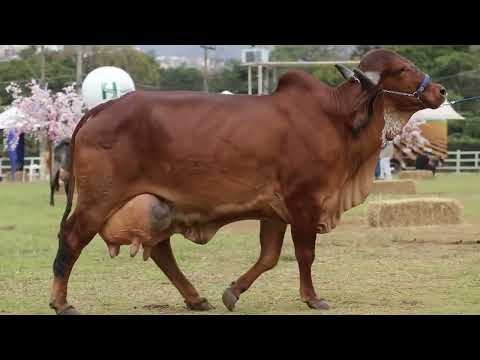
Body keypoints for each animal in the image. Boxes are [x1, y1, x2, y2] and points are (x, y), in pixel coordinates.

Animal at [48, 49, 446, 314]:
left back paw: (196, 298)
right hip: (99, 198)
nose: (440, 91)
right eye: (403, 68)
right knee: (71, 238)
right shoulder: (304, 201)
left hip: (157, 203)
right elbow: (305, 254)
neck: (338, 119)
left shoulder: (275, 210)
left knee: (161, 250)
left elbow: (269, 257)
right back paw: (61, 302)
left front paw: (233, 292)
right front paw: (312, 298)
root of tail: (98, 110)